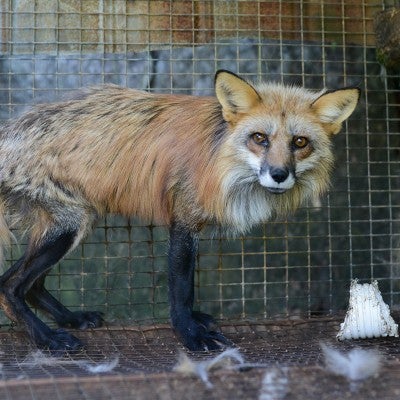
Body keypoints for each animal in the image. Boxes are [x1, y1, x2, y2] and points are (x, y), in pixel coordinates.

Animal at [0, 70, 360, 352]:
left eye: (300, 142)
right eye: (260, 138)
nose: (279, 174)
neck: (221, 161)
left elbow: (187, 288)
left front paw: (195, 323)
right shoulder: (184, 221)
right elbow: (182, 289)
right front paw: (190, 334)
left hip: (75, 224)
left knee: (30, 284)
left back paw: (71, 319)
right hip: (68, 227)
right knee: (10, 285)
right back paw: (47, 339)